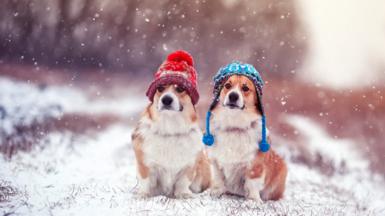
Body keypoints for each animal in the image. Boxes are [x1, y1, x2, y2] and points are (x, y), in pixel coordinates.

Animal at [132, 50, 210, 197]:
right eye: (160, 88)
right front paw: (143, 194)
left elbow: (183, 181)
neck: (170, 128)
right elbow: (145, 180)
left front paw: (183, 194)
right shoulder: (145, 164)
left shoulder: (189, 165)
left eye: (180, 89)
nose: (166, 100)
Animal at [202, 61, 286, 202]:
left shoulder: (255, 166)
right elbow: (219, 179)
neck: (234, 125)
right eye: (227, 85)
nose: (233, 96)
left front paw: (253, 200)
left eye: (245, 88)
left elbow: (252, 183)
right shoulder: (215, 161)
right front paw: (216, 192)